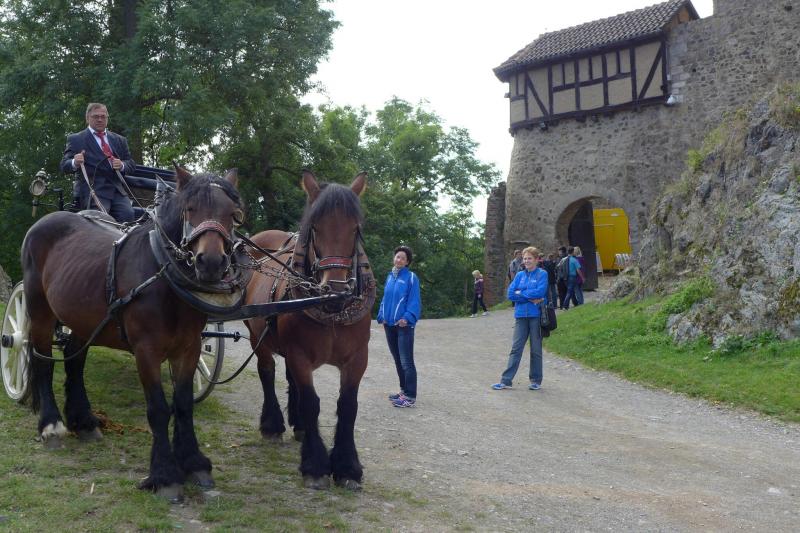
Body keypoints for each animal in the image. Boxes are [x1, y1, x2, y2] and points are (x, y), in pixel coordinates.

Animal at [21, 166, 243, 502]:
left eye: (232, 213)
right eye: (190, 208)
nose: (212, 263)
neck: (162, 273)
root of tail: (44, 221)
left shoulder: (189, 347)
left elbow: (183, 405)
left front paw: (194, 464)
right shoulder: (146, 350)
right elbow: (159, 409)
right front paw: (165, 476)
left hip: (84, 317)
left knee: (74, 360)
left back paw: (84, 422)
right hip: (40, 312)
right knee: (43, 361)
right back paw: (51, 425)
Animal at [244, 170, 375, 490]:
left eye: (356, 229)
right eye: (315, 228)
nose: (336, 290)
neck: (332, 310)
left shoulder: (357, 358)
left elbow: (348, 405)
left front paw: (347, 467)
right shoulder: (299, 354)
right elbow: (312, 402)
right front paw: (315, 465)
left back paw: (300, 426)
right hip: (256, 337)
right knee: (267, 372)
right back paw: (273, 425)